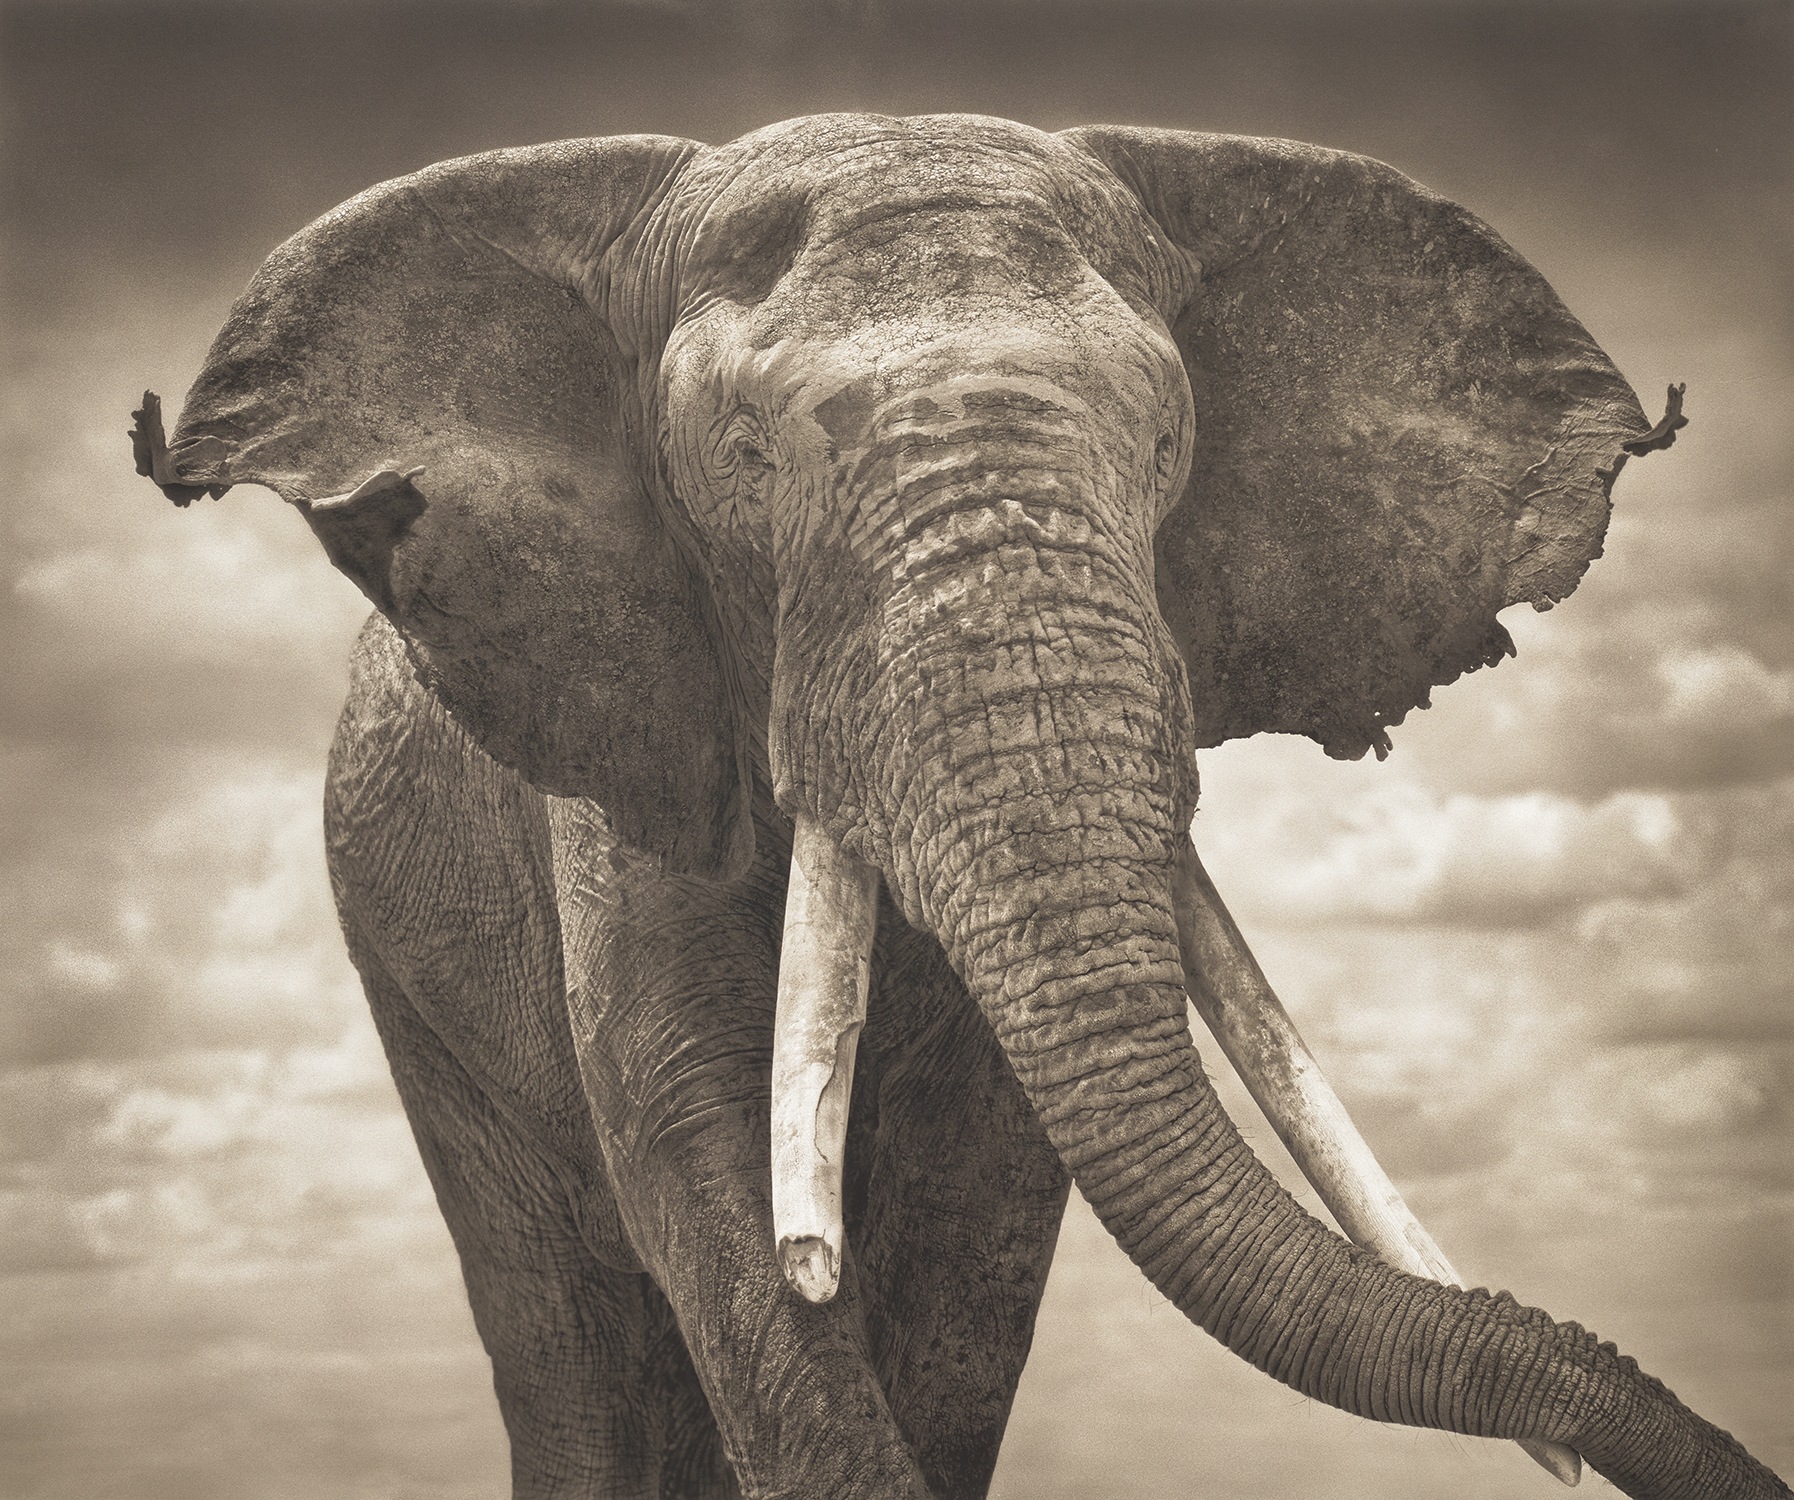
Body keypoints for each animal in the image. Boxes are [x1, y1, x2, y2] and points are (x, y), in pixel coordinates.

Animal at [128, 112, 1785, 1500]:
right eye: (743, 462)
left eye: (1167, 447)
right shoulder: (626, 717)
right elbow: (691, 1130)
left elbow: (988, 1192)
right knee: (567, 1340)